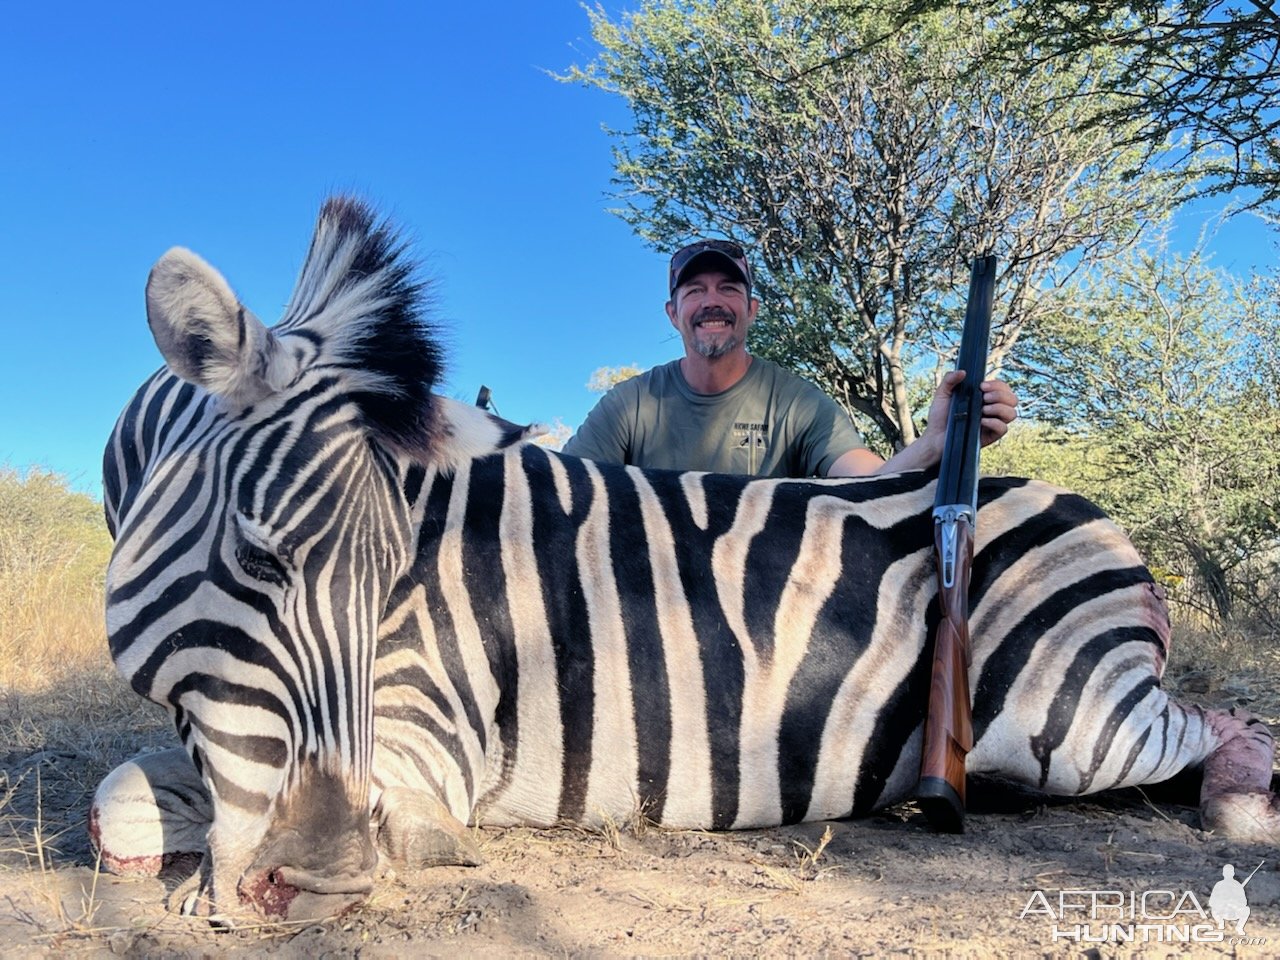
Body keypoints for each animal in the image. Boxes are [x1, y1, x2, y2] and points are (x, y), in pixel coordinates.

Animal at [92, 197, 1280, 926]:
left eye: (396, 584)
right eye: (255, 555)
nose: (315, 882)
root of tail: (1096, 518)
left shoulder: (426, 724)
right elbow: (125, 806)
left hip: (1071, 718)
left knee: (1227, 727)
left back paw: (1241, 804)